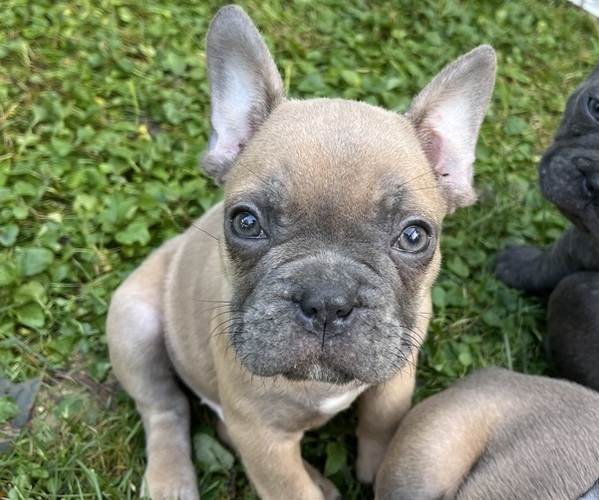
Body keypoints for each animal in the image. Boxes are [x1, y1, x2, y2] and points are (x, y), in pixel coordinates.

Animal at [106, 4, 496, 500]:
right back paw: (172, 479)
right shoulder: (263, 442)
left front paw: (376, 466)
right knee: (165, 408)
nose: (327, 300)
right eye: (246, 222)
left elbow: (381, 419)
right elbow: (291, 488)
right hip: (134, 325)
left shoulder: (397, 368)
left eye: (413, 236)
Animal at [494, 63, 599, 390]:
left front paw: (517, 264)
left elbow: (557, 255)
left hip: (576, 295)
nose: (596, 183)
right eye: (596, 106)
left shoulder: (586, 243)